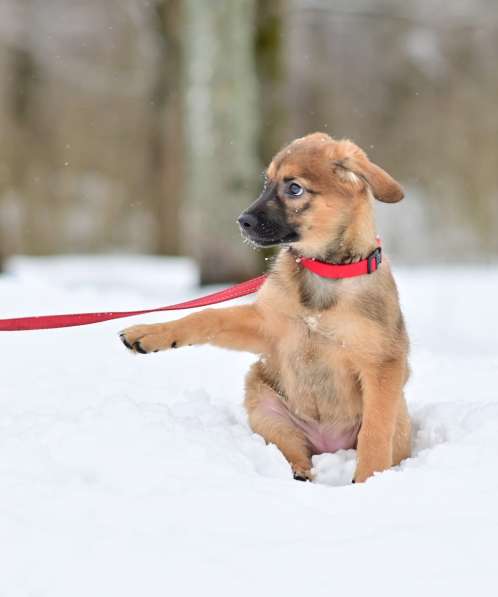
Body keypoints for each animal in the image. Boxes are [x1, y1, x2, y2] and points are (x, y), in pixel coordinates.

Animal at [119, 133, 408, 482]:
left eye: (294, 188)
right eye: (266, 183)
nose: (242, 221)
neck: (323, 271)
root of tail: (328, 444)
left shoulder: (382, 363)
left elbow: (375, 430)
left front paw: (370, 479)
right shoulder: (269, 327)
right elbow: (207, 316)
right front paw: (150, 332)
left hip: (400, 419)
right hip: (265, 405)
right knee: (293, 449)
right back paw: (300, 473)